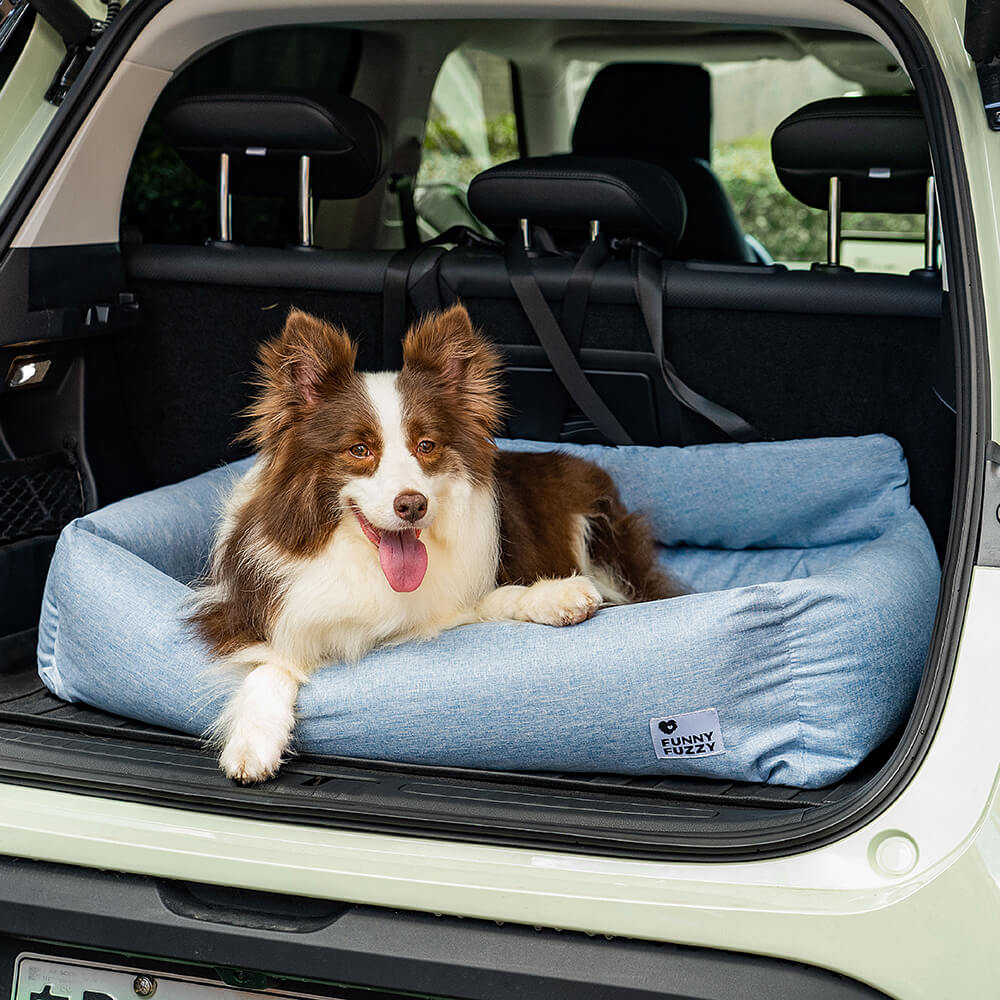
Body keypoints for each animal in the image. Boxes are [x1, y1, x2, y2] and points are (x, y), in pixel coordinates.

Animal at [191, 300, 684, 784]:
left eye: (426, 445)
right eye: (359, 450)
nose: (413, 505)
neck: (367, 563)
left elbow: (499, 598)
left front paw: (557, 596)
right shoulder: (237, 613)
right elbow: (269, 663)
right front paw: (253, 741)